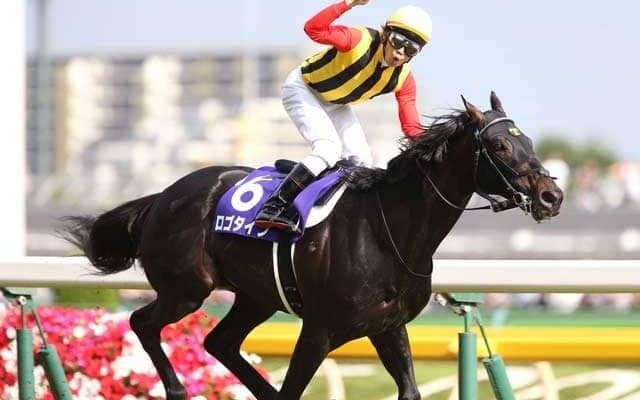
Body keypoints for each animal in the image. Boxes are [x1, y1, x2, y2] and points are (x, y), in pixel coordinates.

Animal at [62, 91, 562, 400]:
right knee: (142, 322)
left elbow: (409, 389)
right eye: (500, 146)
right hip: (187, 288)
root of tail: (162, 197)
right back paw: (178, 388)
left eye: (528, 142)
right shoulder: (319, 329)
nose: (551, 195)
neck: (390, 232)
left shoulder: (388, 327)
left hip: (256, 296)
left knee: (220, 341)